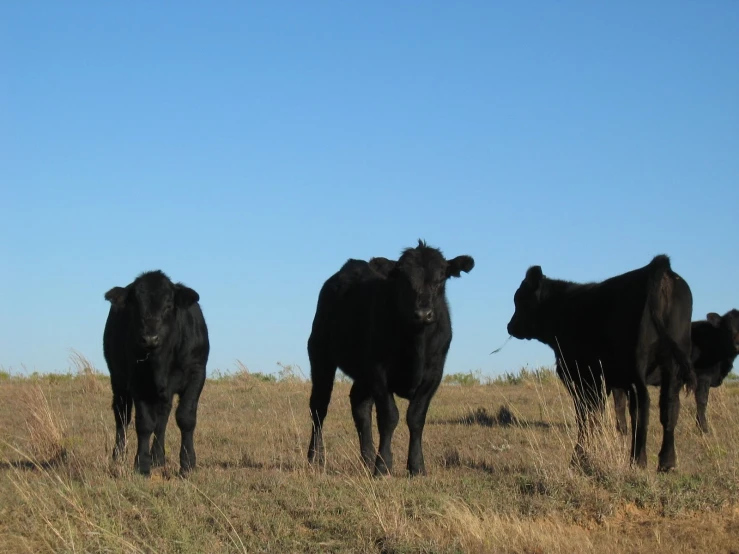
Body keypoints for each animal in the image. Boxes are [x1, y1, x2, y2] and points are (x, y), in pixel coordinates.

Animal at [102, 268, 210, 474]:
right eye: (136, 306)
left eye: (168, 306)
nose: (150, 338)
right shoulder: (137, 380)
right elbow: (144, 423)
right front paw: (142, 465)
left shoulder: (197, 373)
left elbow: (185, 417)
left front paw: (187, 464)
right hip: (118, 379)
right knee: (122, 415)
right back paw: (118, 457)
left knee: (162, 418)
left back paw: (158, 458)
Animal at [306, 238, 474, 474]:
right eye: (404, 280)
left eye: (441, 278)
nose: (423, 314)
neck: (416, 345)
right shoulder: (379, 372)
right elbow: (389, 417)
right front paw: (383, 466)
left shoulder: (433, 374)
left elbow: (416, 417)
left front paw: (416, 467)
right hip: (320, 355)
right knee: (319, 407)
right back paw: (316, 458)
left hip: (361, 373)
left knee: (360, 406)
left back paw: (367, 459)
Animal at [506, 254, 696, 470]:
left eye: (520, 300)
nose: (510, 326)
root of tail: (659, 266)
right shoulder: (603, 382)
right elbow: (598, 414)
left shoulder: (580, 377)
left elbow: (585, 416)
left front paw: (579, 457)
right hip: (673, 368)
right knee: (669, 408)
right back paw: (667, 461)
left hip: (637, 370)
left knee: (642, 408)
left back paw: (638, 460)